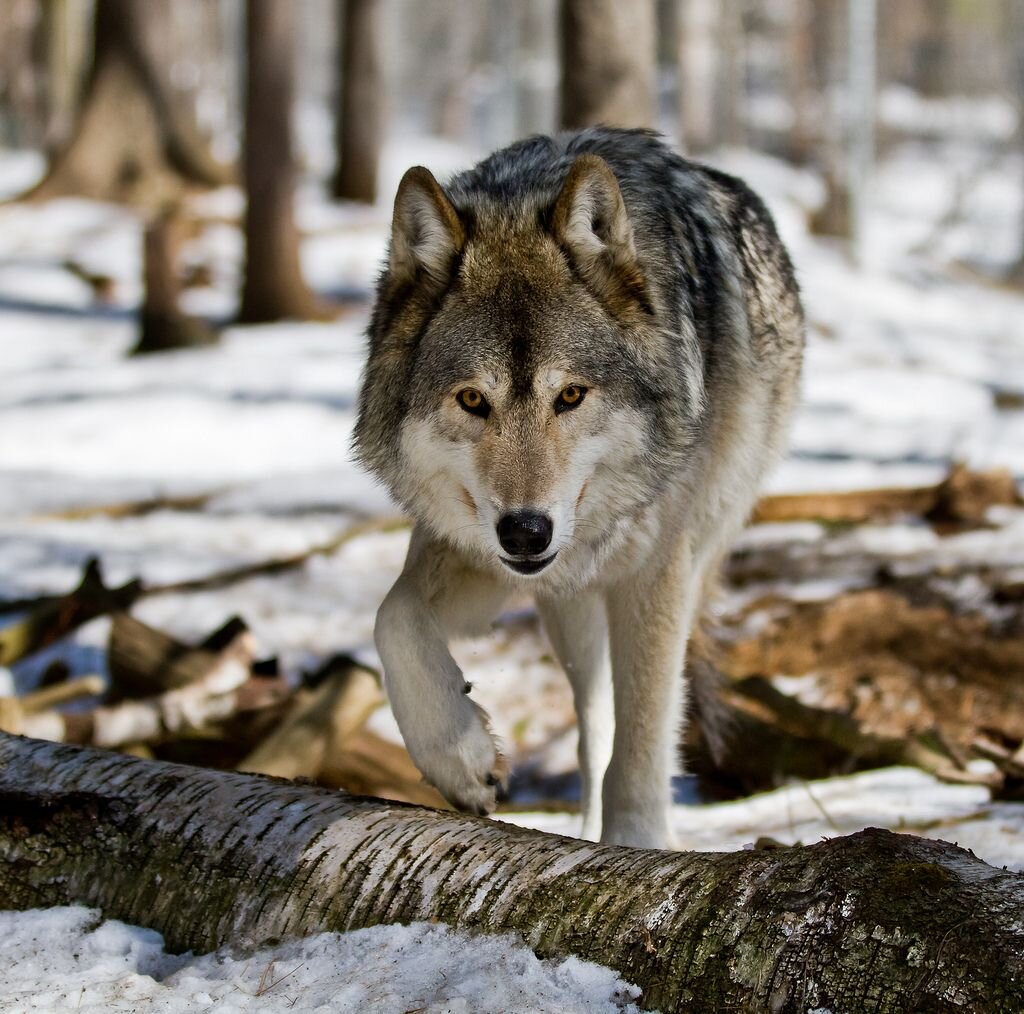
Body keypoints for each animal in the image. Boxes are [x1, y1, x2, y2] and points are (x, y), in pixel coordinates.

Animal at [356, 131, 802, 852]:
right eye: (473, 400)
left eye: (569, 395)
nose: (526, 531)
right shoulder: (479, 546)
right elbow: (393, 617)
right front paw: (460, 758)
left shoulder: (657, 572)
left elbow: (644, 741)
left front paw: (640, 848)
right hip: (569, 613)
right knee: (594, 733)